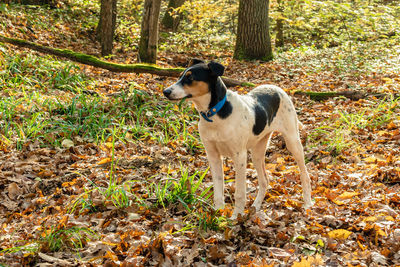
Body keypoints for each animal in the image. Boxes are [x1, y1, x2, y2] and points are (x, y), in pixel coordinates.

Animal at [162, 59, 312, 219]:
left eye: (190, 77)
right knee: (264, 180)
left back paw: (308, 203)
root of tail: (276, 88)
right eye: (180, 76)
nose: (165, 92)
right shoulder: (213, 155)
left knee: (304, 175)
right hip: (257, 151)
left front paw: (236, 217)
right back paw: (255, 206)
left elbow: (240, 192)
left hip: (293, 141)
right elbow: (218, 190)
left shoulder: (239, 156)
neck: (215, 114)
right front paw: (218, 213)